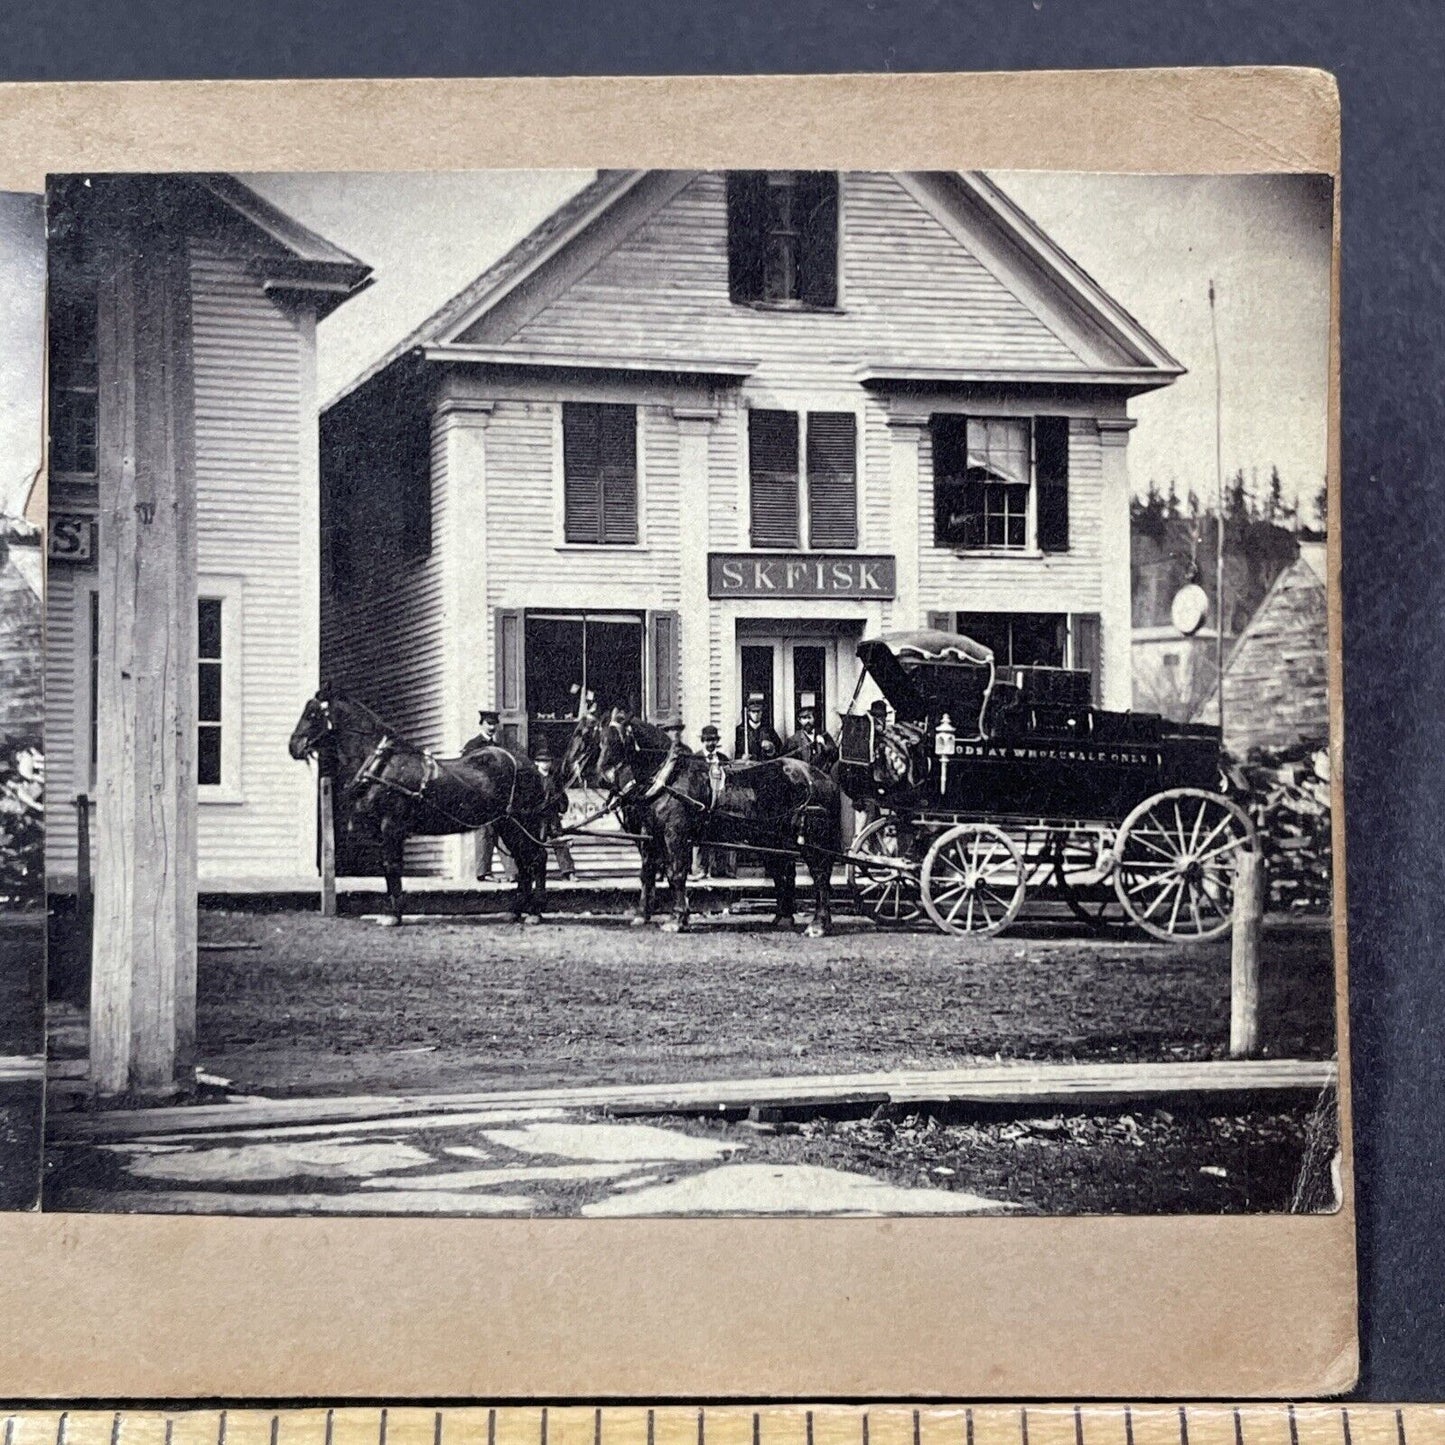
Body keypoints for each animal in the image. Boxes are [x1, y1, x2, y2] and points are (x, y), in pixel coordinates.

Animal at [289, 684, 551, 924]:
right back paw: (516, 911)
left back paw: (535, 912)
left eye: (312, 714)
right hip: (507, 825)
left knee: (537, 858)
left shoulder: (391, 826)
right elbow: (388, 868)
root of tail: (529, 766)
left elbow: (392, 866)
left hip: (522, 822)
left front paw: (394, 915)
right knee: (524, 861)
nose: (294, 747)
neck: (382, 764)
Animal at [557, 710, 843, 936]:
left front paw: (677, 919)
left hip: (811, 838)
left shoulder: (675, 834)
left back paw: (818, 924)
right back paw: (783, 917)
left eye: (614, 738)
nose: (604, 776)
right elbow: (651, 872)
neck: (668, 779)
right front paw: (647, 914)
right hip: (775, 838)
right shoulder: (653, 834)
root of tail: (820, 777)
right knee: (784, 871)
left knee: (820, 873)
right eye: (597, 738)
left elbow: (676, 872)